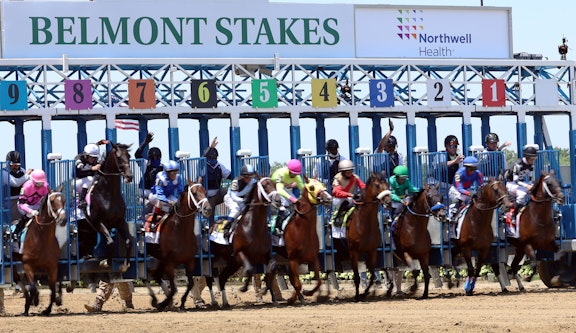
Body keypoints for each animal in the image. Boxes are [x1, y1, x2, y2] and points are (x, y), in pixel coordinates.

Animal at [20, 188, 66, 316]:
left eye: (64, 200)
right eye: (52, 201)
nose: (63, 219)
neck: (41, 239)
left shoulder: (52, 267)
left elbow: (52, 290)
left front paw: (47, 310)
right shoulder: (27, 265)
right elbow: (33, 288)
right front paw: (31, 304)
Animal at [85, 142, 133, 270]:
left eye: (129, 156)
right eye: (118, 157)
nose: (129, 176)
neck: (109, 194)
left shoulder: (120, 221)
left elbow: (128, 241)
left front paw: (125, 265)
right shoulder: (98, 222)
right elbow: (110, 243)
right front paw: (106, 262)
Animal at [144, 180, 212, 310]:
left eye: (205, 191)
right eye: (194, 193)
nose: (207, 209)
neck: (179, 230)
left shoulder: (189, 261)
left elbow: (190, 283)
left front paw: (182, 303)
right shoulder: (170, 264)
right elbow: (174, 289)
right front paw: (163, 303)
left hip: (159, 259)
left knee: (154, 275)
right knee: (147, 276)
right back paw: (158, 301)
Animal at [217, 175, 282, 308]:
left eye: (274, 184)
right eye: (265, 186)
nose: (278, 200)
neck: (254, 227)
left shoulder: (262, 255)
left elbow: (272, 267)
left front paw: (266, 291)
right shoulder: (240, 253)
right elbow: (250, 270)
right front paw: (243, 288)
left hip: (232, 264)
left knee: (222, 278)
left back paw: (225, 303)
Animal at [346, 171, 392, 300]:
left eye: (387, 184)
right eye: (377, 185)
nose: (388, 202)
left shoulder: (372, 250)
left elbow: (372, 274)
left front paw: (365, 293)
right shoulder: (353, 251)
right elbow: (357, 276)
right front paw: (357, 296)